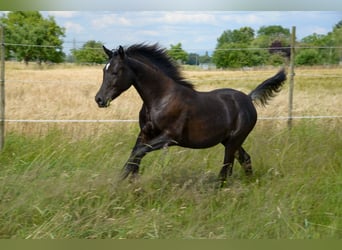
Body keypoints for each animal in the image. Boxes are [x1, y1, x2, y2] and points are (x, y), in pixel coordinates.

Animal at [95, 43, 288, 186]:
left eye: (115, 71)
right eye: (104, 71)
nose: (99, 99)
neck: (161, 98)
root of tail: (248, 98)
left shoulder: (169, 137)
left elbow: (138, 153)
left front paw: (118, 186)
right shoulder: (145, 133)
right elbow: (134, 156)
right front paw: (127, 183)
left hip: (234, 140)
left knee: (226, 168)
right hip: (229, 140)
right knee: (245, 159)